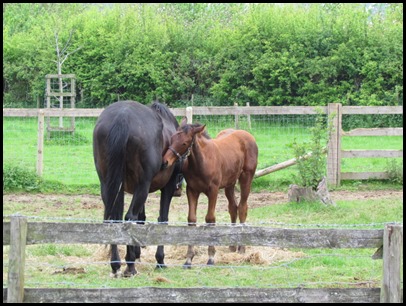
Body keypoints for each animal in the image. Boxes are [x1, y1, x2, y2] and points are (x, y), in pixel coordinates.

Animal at [93, 101, 183, 278]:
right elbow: (162, 219)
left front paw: (137, 252)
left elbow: (140, 218)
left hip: (109, 184)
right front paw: (159, 260)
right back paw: (130, 266)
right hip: (143, 185)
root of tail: (122, 117)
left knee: (115, 219)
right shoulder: (166, 187)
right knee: (129, 217)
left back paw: (116, 264)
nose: (179, 190)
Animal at [161, 118, 256, 268]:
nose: (165, 162)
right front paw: (188, 259)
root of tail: (247, 135)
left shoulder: (213, 191)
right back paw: (232, 245)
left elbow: (210, 219)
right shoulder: (192, 191)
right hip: (229, 184)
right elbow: (191, 219)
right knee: (233, 208)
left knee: (242, 207)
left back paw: (241, 248)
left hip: (246, 178)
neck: (201, 162)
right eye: (172, 138)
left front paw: (211, 257)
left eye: (184, 143)